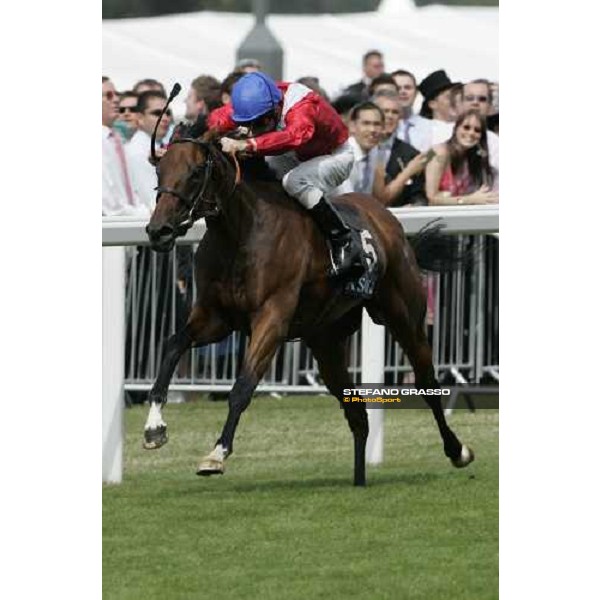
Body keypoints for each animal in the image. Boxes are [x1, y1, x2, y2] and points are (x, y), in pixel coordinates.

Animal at [142, 127, 474, 488]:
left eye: (194, 173)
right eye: (159, 171)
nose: (158, 231)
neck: (241, 231)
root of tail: (387, 219)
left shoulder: (272, 317)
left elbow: (243, 385)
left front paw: (217, 454)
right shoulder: (215, 318)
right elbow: (172, 346)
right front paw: (154, 428)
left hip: (405, 318)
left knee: (428, 383)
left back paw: (457, 450)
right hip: (326, 341)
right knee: (356, 410)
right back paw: (359, 480)